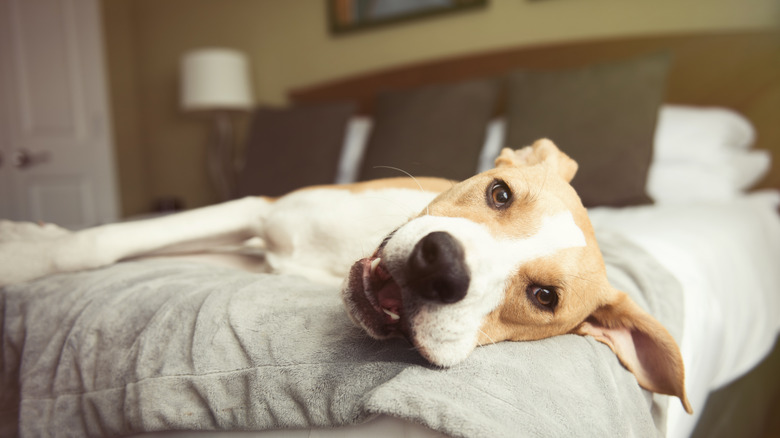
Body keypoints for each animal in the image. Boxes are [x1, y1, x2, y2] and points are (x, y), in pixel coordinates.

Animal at [0, 140, 692, 414]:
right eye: (500, 193)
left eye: (544, 296)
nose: (442, 267)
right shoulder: (258, 212)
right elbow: (103, 240)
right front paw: (24, 257)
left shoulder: (250, 250)